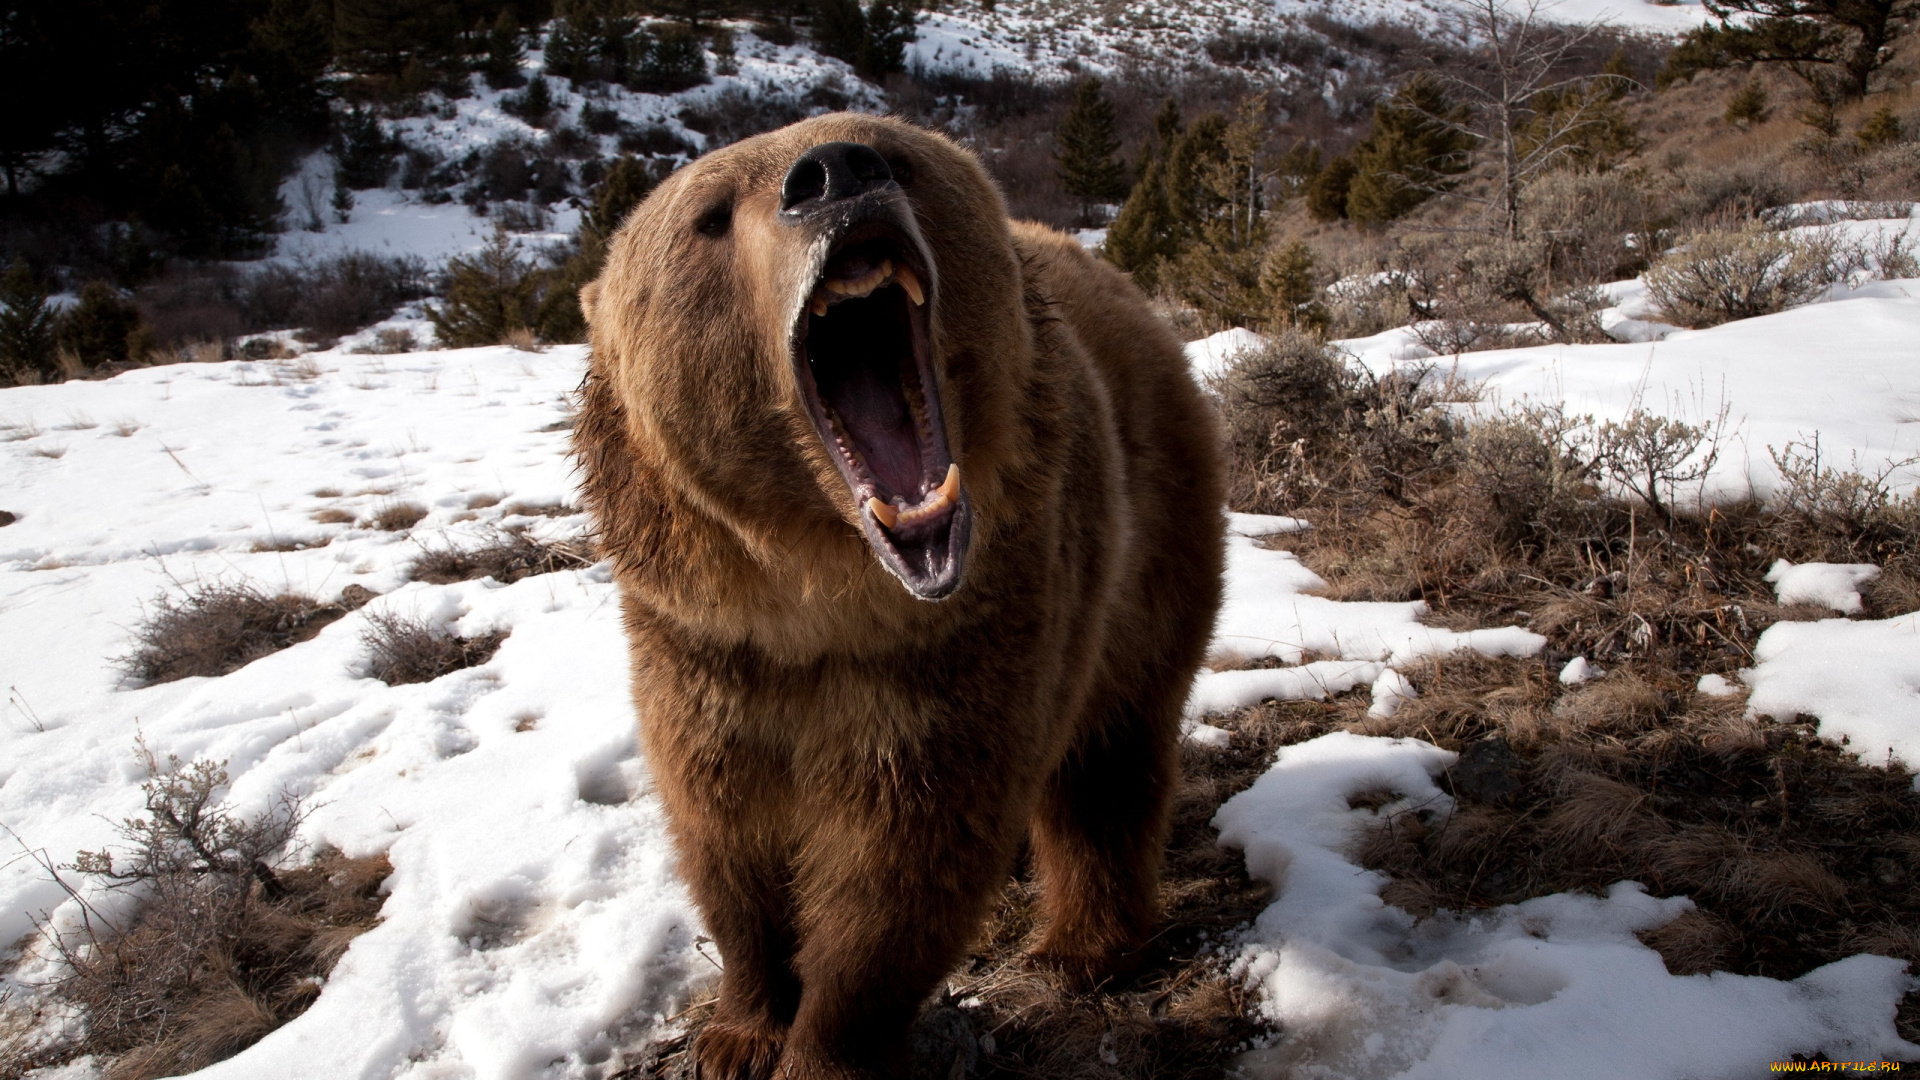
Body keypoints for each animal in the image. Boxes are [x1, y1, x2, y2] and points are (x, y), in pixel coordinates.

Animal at [572, 113, 1228, 1068]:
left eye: (894, 153)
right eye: (708, 215)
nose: (835, 174)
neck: (819, 598)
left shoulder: (957, 646)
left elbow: (902, 866)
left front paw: (822, 1047)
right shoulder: (703, 647)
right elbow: (726, 838)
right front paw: (740, 1029)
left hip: (1148, 540)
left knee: (1109, 755)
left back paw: (1080, 947)